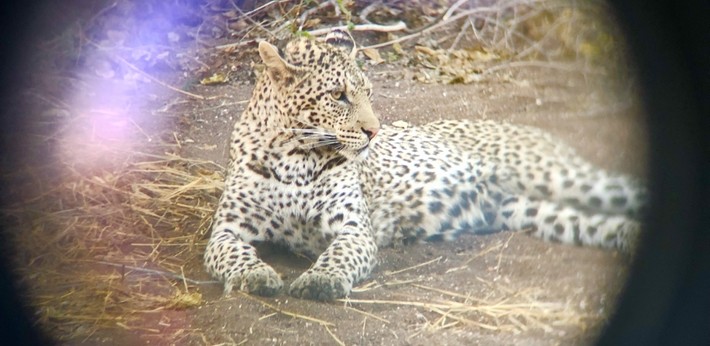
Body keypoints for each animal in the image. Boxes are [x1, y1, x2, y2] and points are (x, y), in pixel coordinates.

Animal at [203, 29, 648, 300]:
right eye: (338, 96)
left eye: (367, 92)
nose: (374, 131)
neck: (295, 157)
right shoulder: (226, 230)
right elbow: (231, 254)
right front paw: (254, 275)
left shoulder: (352, 228)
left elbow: (339, 255)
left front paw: (320, 280)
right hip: (530, 210)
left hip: (557, 176)